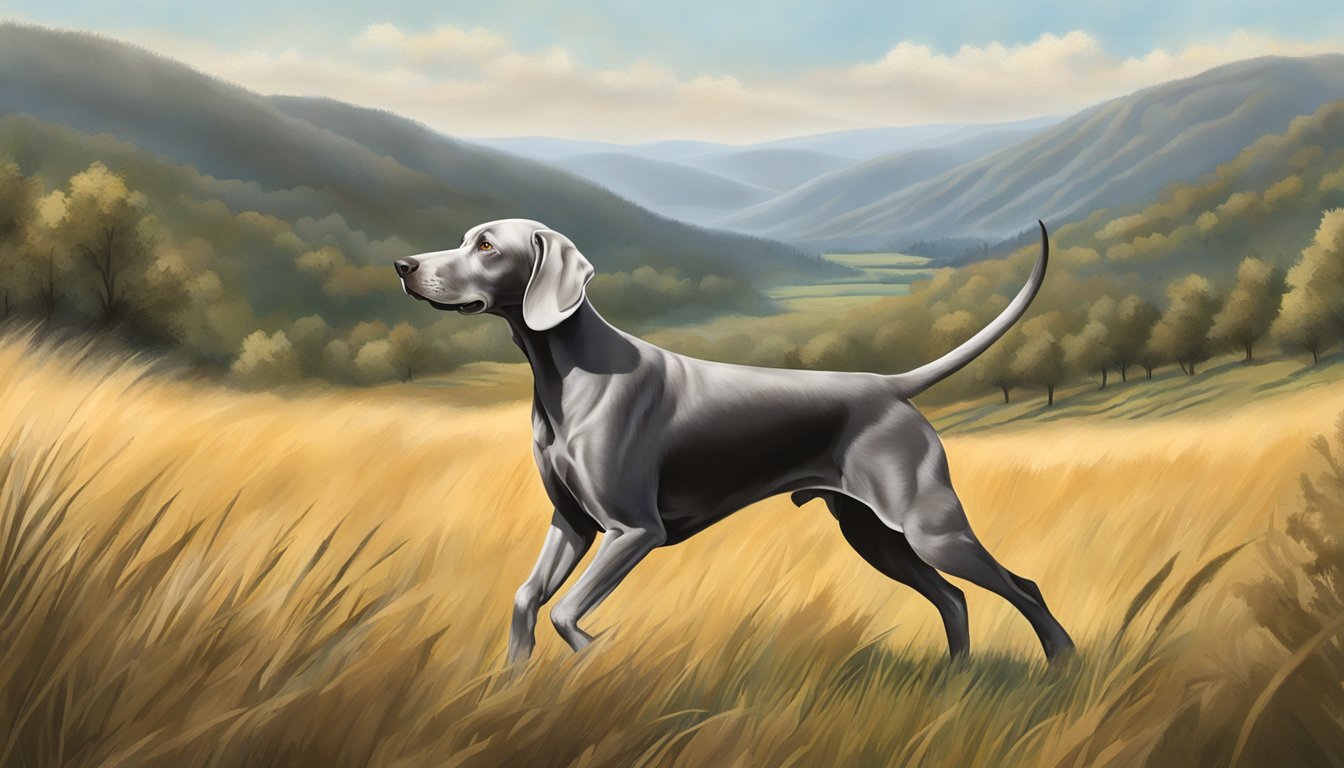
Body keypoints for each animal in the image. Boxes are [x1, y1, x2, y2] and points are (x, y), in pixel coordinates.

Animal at [392, 219, 1075, 664]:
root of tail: (888, 383)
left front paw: (595, 652)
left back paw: (1065, 667)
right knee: (953, 599)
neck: (566, 373)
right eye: (464, 238)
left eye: (485, 245)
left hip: (928, 528)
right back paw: (955, 682)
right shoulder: (572, 525)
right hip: (875, 536)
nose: (404, 267)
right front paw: (512, 683)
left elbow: (565, 612)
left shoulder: (634, 530)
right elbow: (525, 599)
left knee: (1024, 587)